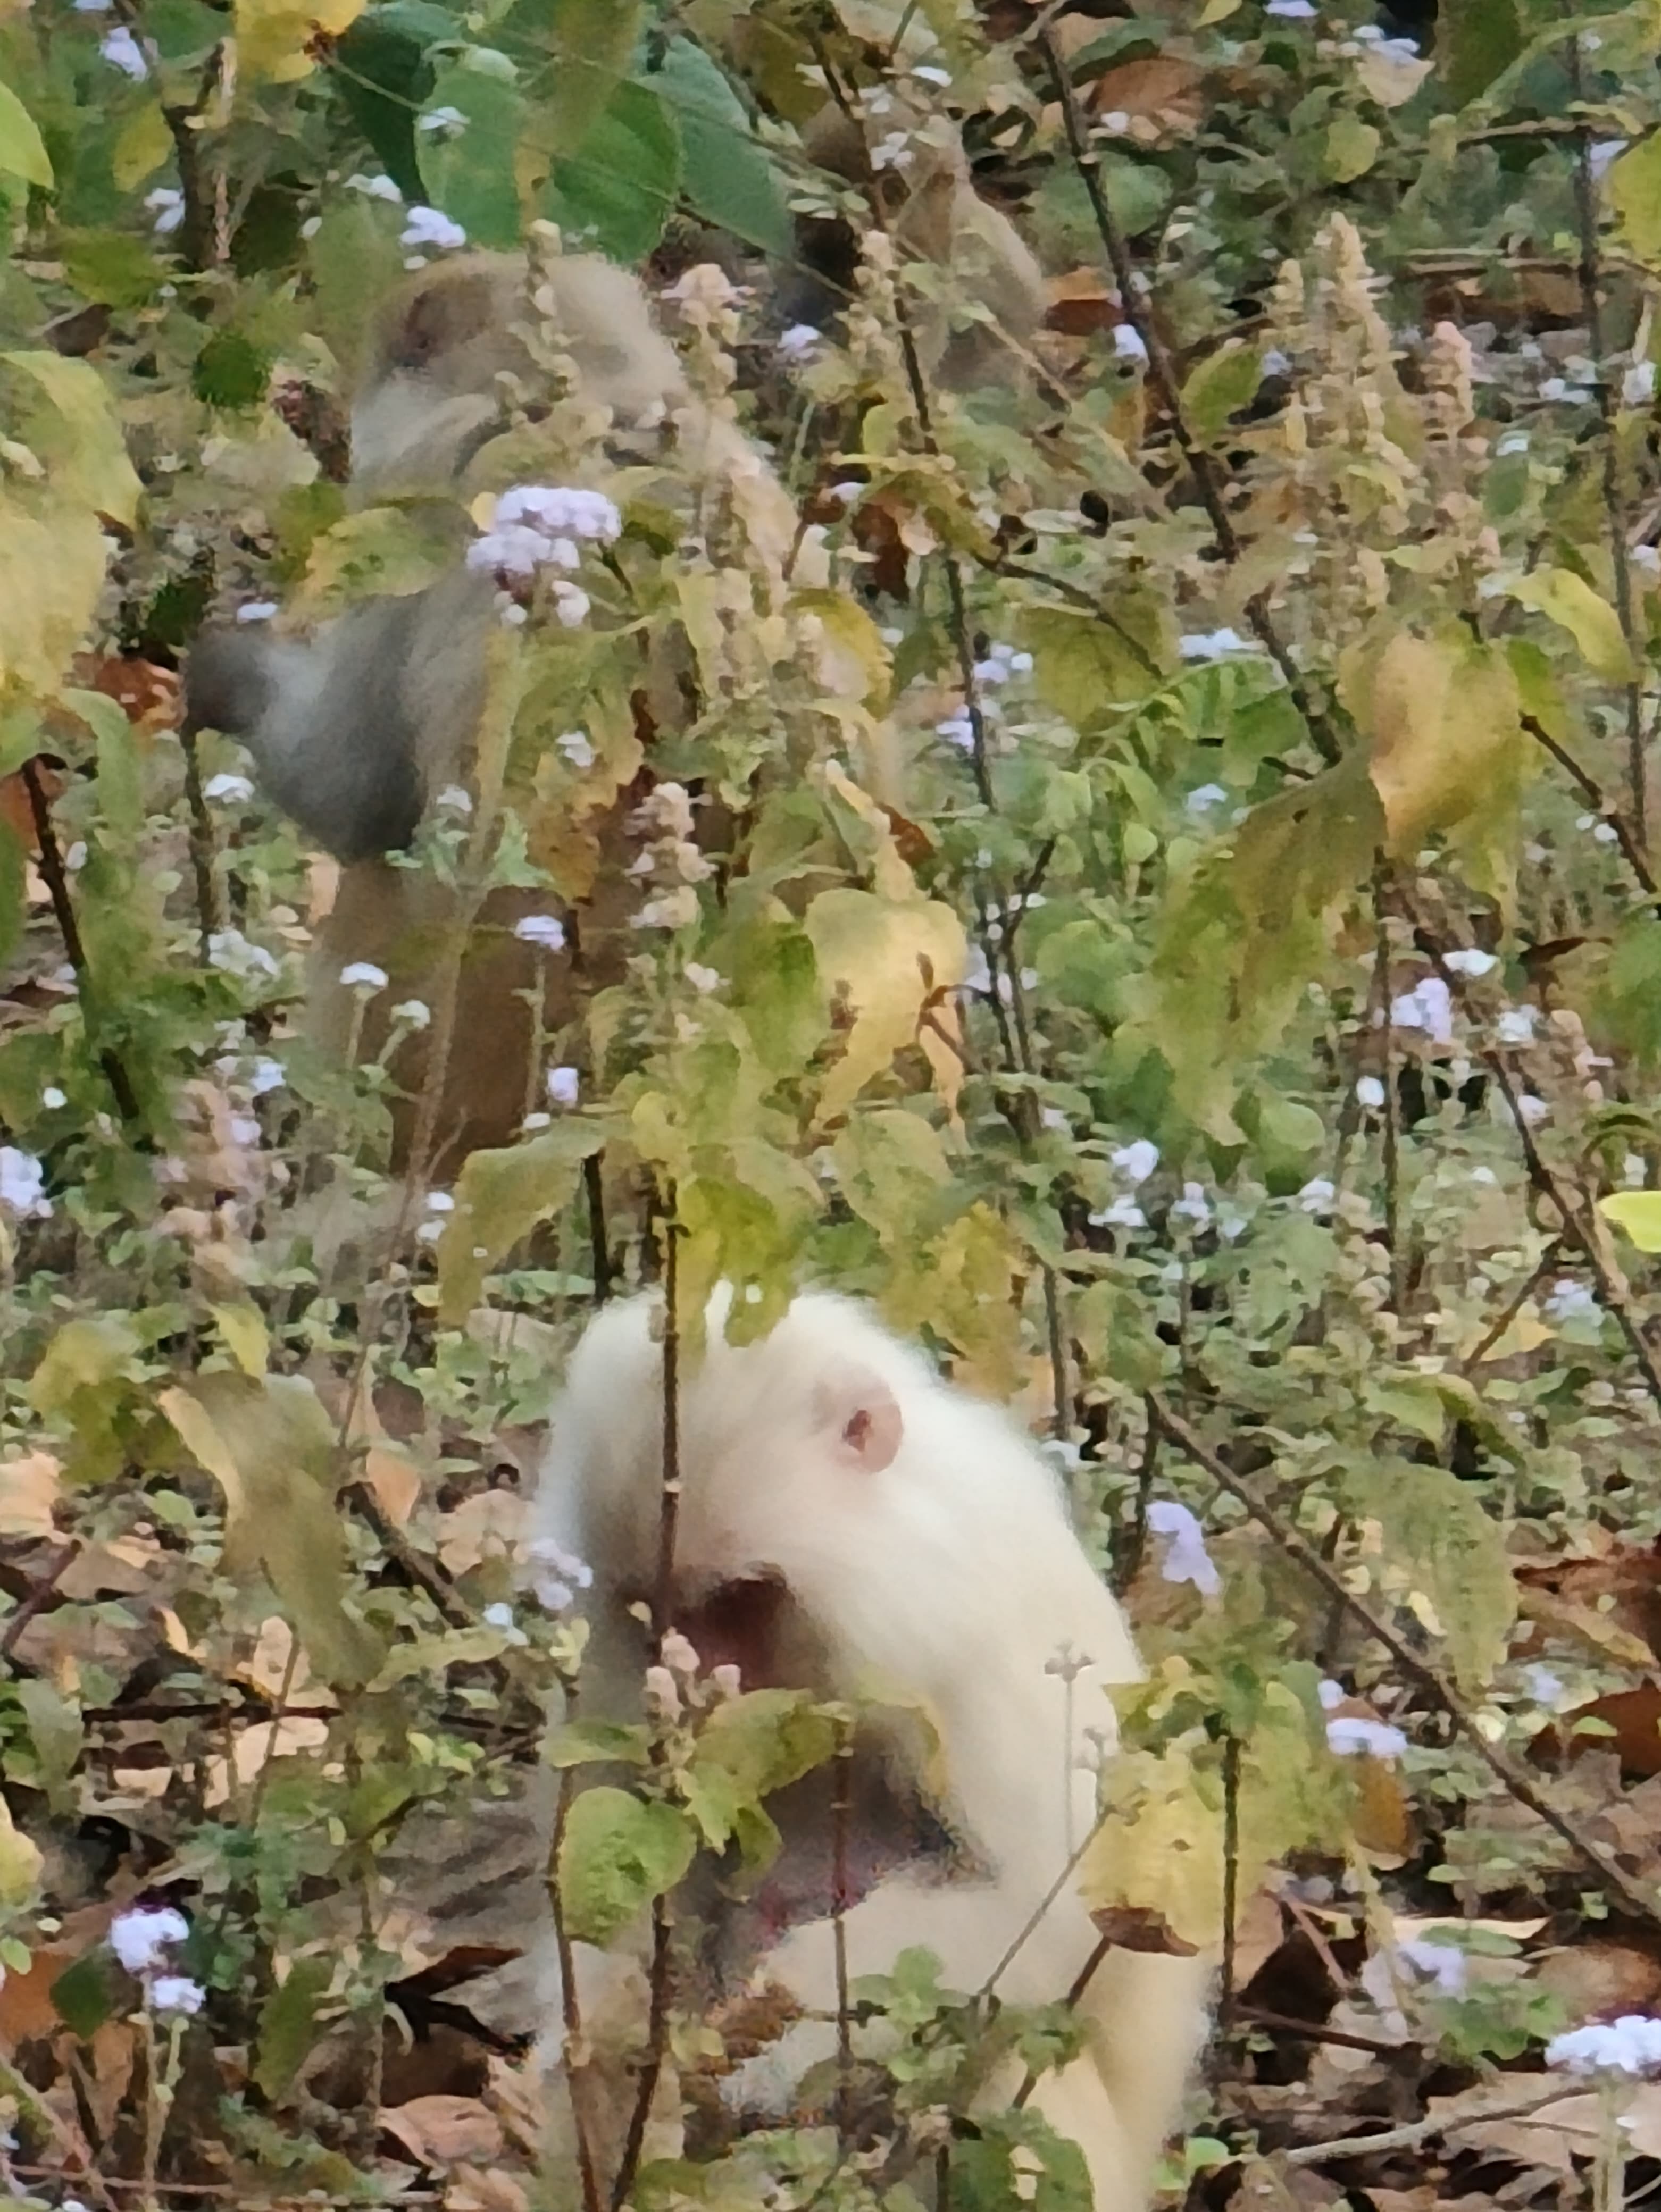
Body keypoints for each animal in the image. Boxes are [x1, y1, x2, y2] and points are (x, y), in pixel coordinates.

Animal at [529, 1287, 1213, 2212]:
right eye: (653, 1609)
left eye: (739, 1599)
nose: (702, 1686)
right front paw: (615, 2032)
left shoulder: (978, 1641)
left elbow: (1049, 1910)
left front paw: (761, 2044)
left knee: (996, 2050)